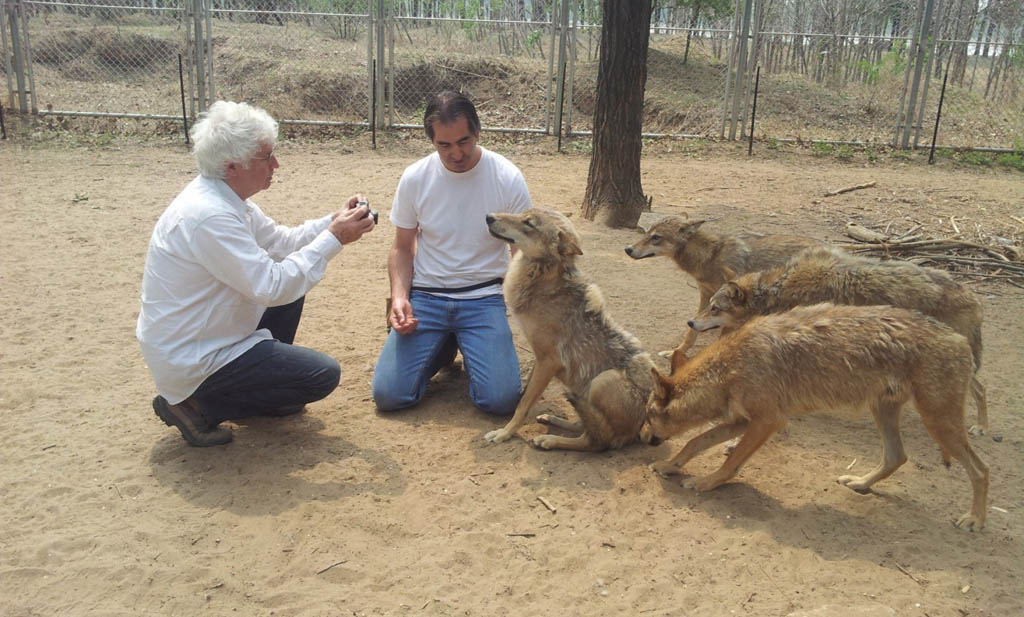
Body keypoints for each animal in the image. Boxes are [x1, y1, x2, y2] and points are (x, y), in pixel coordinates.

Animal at [483, 209, 655, 451]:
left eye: (528, 223)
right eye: (520, 214)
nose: (489, 216)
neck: (542, 281)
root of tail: (644, 428)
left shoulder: (549, 361)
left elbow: (523, 404)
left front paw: (504, 433)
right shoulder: (539, 358)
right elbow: (525, 395)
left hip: (602, 381)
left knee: (596, 442)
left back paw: (548, 440)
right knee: (584, 424)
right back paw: (552, 420)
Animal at [624, 216, 823, 354]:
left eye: (656, 237)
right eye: (647, 234)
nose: (628, 249)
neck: (711, 256)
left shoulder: (729, 307)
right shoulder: (706, 295)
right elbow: (691, 332)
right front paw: (675, 352)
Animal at [641, 303, 989, 532]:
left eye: (647, 414)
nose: (642, 437)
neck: (730, 365)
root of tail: (960, 340)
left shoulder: (768, 421)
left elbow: (731, 463)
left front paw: (705, 482)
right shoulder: (743, 420)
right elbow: (696, 442)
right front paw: (670, 466)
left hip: (938, 422)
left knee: (981, 469)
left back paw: (975, 519)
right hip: (885, 412)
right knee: (897, 457)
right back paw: (860, 483)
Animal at [687, 246, 988, 433]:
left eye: (715, 309)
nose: (690, 322)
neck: (778, 290)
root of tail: (973, 296)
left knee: (980, 389)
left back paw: (982, 427)